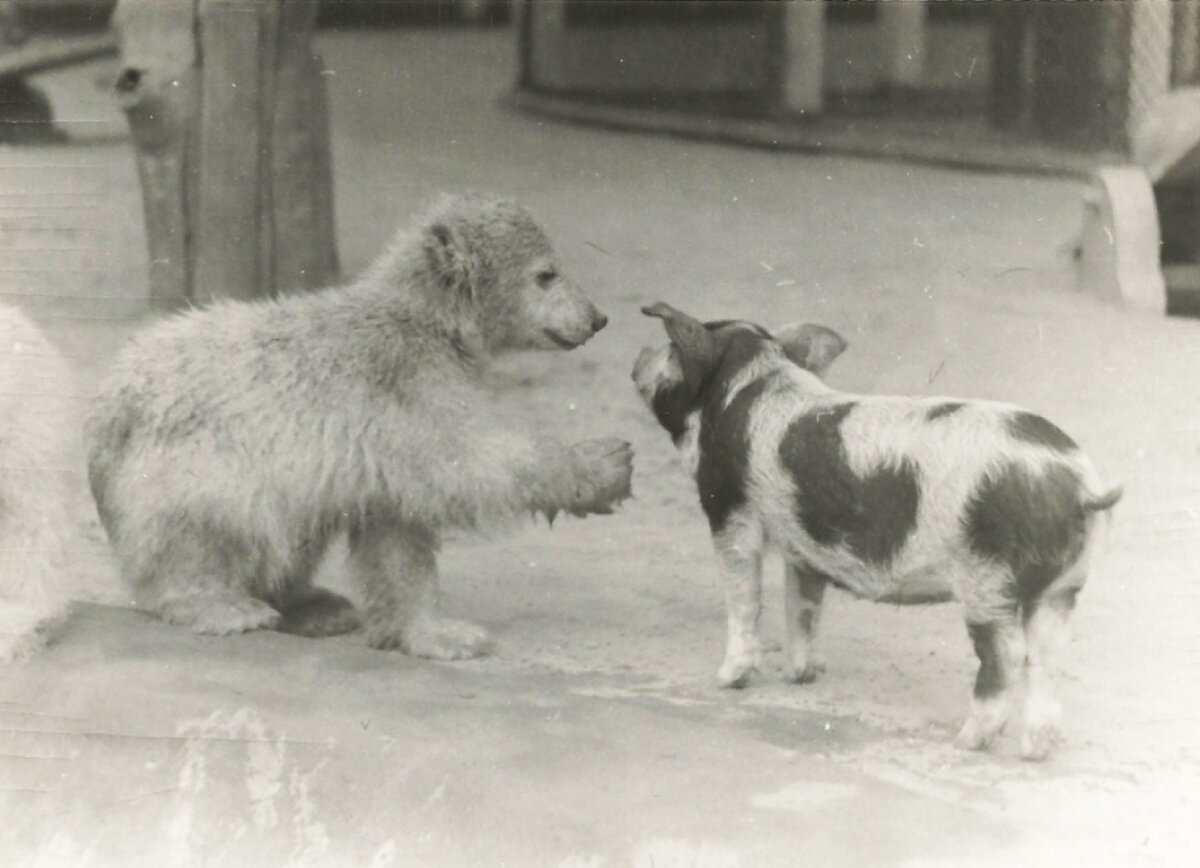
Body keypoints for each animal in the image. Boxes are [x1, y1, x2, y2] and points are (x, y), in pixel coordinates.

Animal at [633, 300, 1118, 758]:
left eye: (672, 348)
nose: (638, 355)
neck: (745, 387)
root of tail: (1078, 484)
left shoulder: (729, 511)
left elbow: (744, 597)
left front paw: (727, 680)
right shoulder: (804, 546)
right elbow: (802, 607)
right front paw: (800, 675)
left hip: (990, 578)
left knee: (1008, 655)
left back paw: (967, 741)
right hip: (1063, 585)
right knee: (1049, 655)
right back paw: (1037, 750)